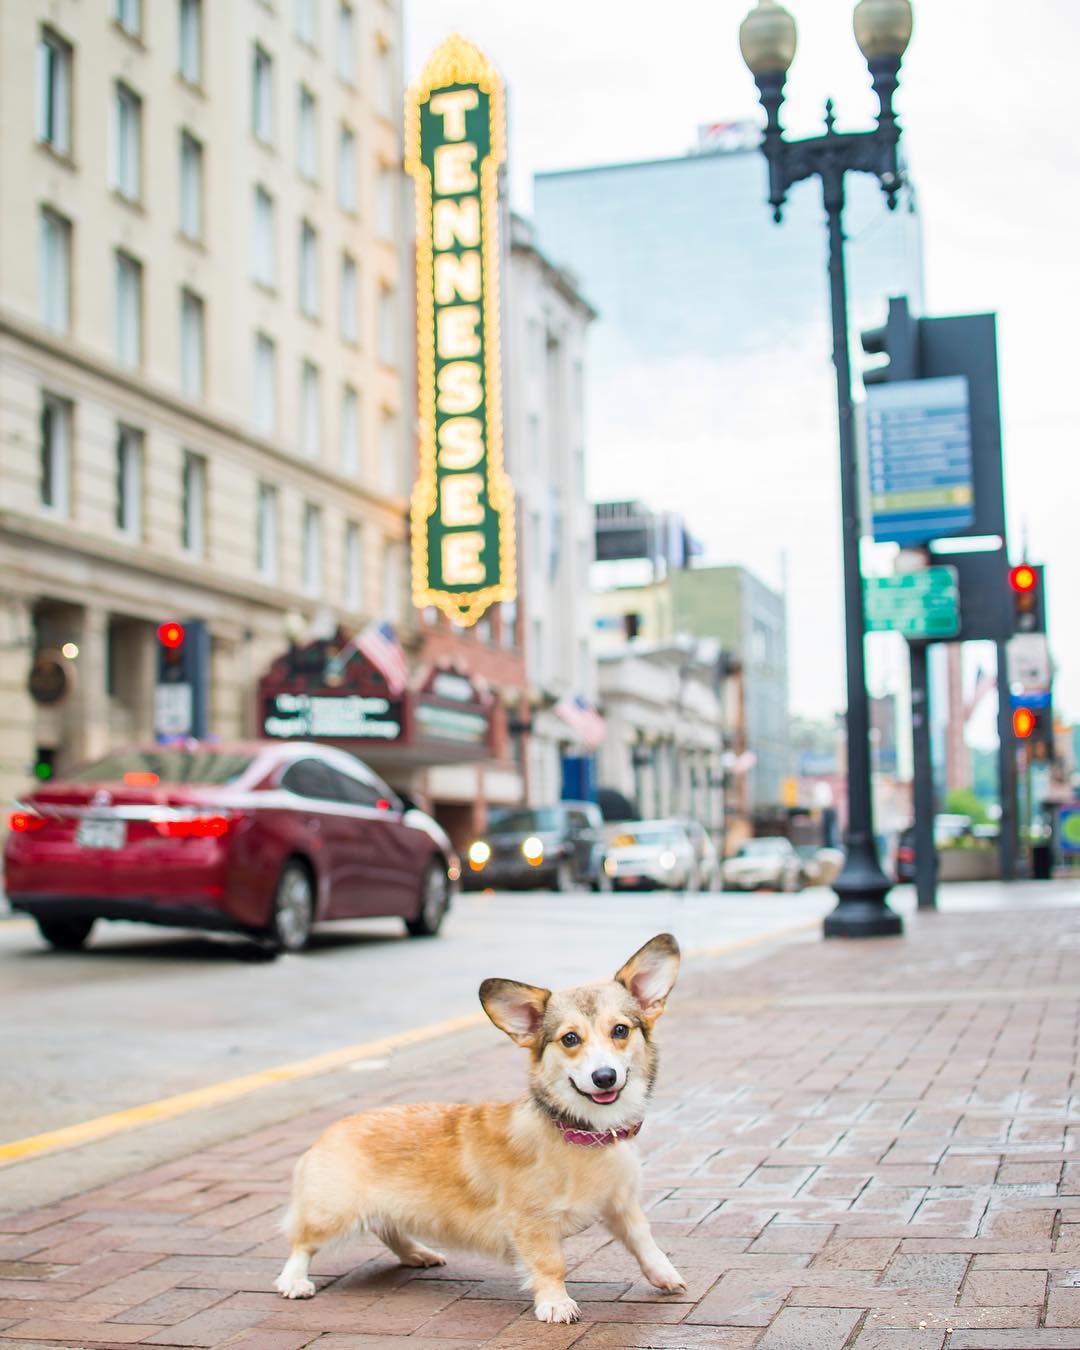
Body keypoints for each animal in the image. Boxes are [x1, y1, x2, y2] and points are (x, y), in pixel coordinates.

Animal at [274, 934, 688, 1323]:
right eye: (570, 1038)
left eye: (620, 1030)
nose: (604, 1077)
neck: (585, 1135)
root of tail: (329, 1131)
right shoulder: (532, 1223)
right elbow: (551, 1265)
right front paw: (555, 1304)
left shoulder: (621, 1205)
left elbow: (644, 1241)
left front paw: (665, 1275)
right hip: (332, 1215)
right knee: (301, 1244)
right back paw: (294, 1281)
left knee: (389, 1229)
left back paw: (417, 1253)